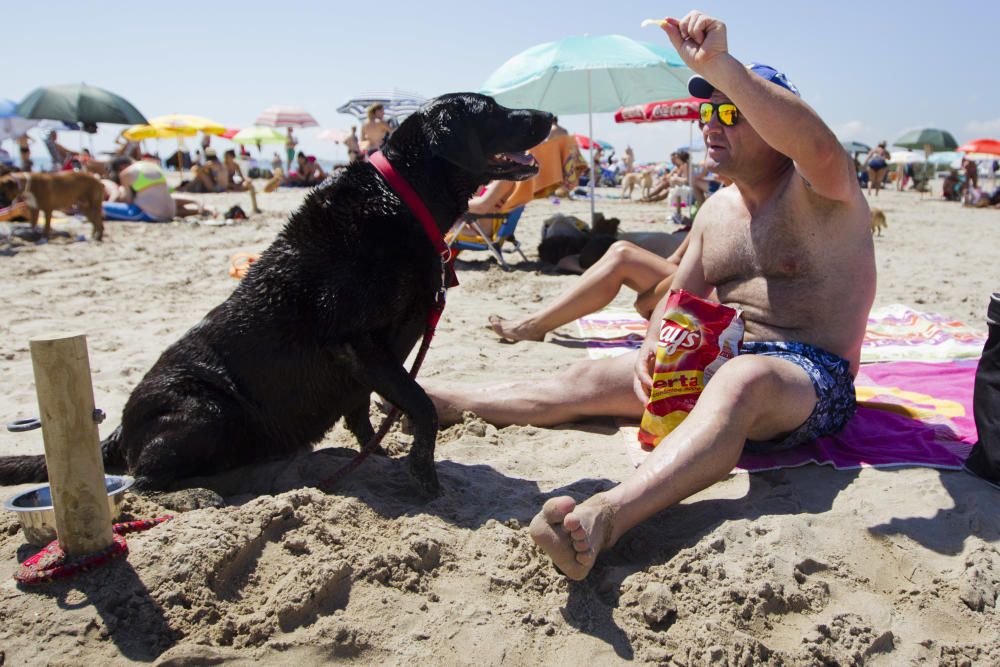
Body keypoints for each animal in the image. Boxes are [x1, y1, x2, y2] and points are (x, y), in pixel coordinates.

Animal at [0, 96, 552, 498]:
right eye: (493, 111)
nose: (549, 116)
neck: (403, 196)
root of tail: (117, 431)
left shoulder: (369, 362)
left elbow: (367, 411)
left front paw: (380, 456)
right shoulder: (358, 340)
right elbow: (421, 405)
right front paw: (423, 472)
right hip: (208, 410)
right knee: (143, 482)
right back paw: (195, 495)